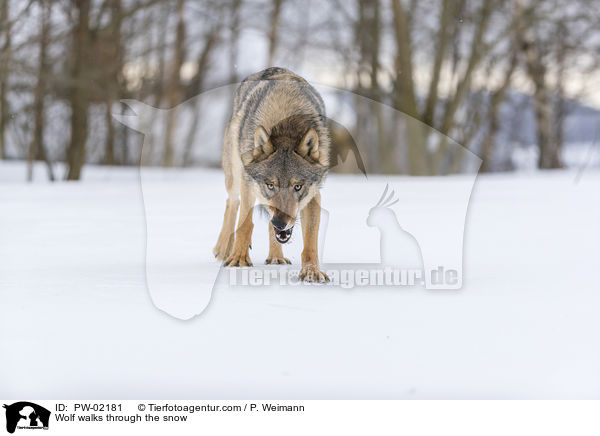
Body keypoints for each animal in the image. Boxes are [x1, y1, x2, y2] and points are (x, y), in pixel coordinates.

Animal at [214, 66, 330, 282]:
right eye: (270, 184)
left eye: (297, 186)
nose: (280, 222)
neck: (286, 128)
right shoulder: (248, 183)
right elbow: (245, 224)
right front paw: (239, 259)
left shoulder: (313, 196)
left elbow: (311, 241)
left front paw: (311, 272)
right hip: (234, 173)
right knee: (232, 203)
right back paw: (224, 248)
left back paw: (276, 257)